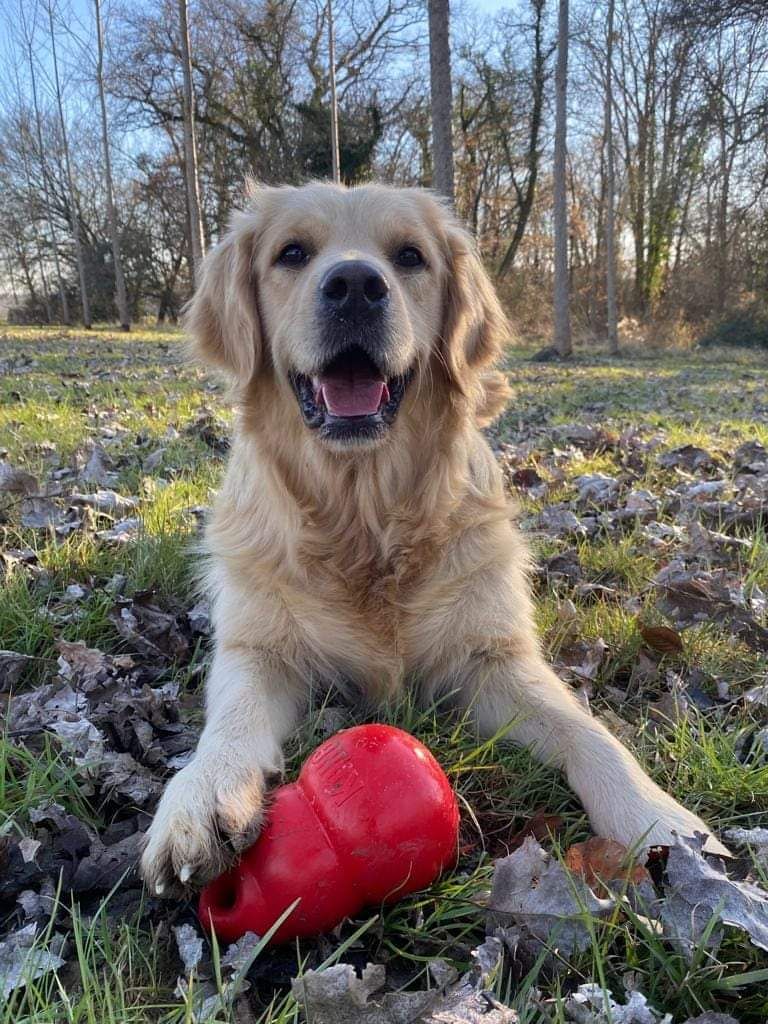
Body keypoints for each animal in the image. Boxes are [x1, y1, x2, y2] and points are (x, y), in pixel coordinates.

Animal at [140, 184, 729, 897]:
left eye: (410, 257)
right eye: (292, 253)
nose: (356, 285)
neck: (366, 513)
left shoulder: (491, 657)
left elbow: (586, 729)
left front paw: (656, 815)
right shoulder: (260, 649)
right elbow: (231, 719)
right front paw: (201, 796)